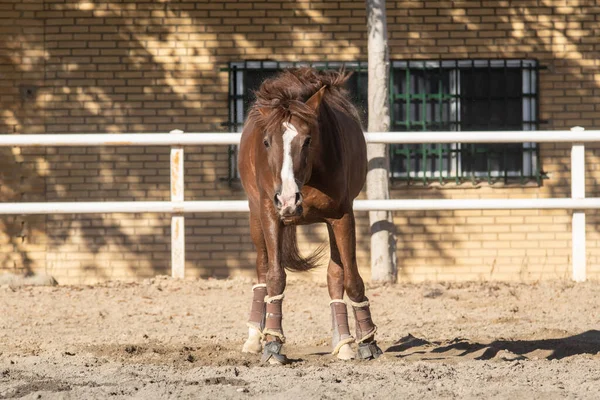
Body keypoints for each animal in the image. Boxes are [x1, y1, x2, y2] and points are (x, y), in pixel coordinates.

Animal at [238, 68, 382, 362]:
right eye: (267, 142)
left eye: (307, 140)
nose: (288, 199)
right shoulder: (271, 214)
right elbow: (275, 277)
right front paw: (272, 342)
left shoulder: (342, 217)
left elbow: (351, 279)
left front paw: (367, 340)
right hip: (256, 217)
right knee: (261, 269)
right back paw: (254, 337)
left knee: (335, 274)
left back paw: (344, 342)